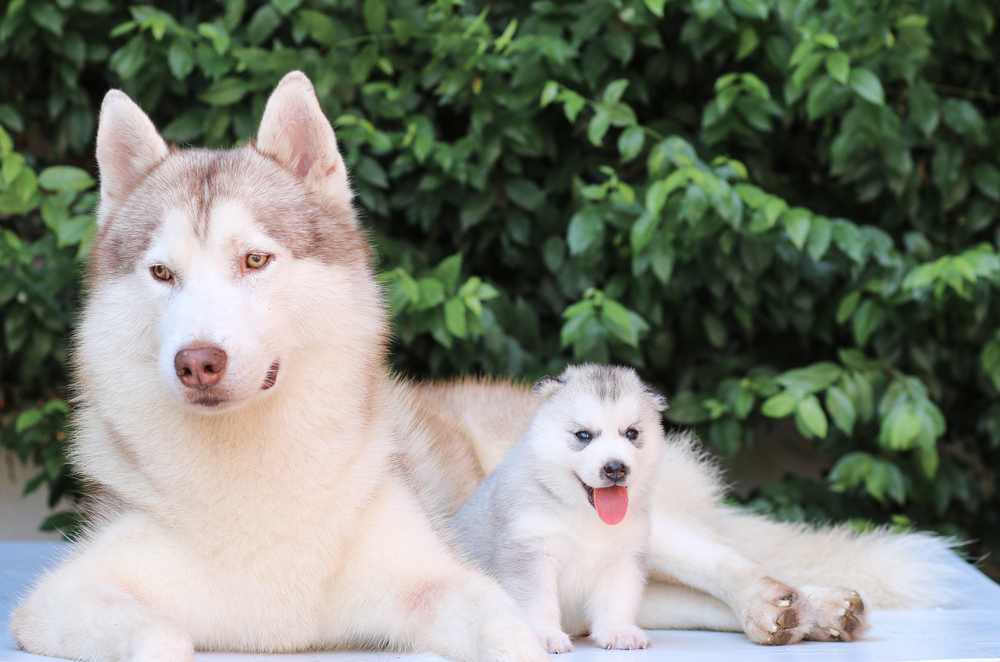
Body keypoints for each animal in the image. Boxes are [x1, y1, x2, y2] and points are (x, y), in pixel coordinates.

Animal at [11, 70, 956, 660]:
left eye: (254, 261)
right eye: (161, 274)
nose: (197, 362)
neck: (253, 477)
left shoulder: (441, 586)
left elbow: (509, 632)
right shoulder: (53, 603)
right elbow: (162, 634)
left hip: (626, 509)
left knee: (723, 558)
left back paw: (792, 600)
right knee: (673, 596)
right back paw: (792, 615)